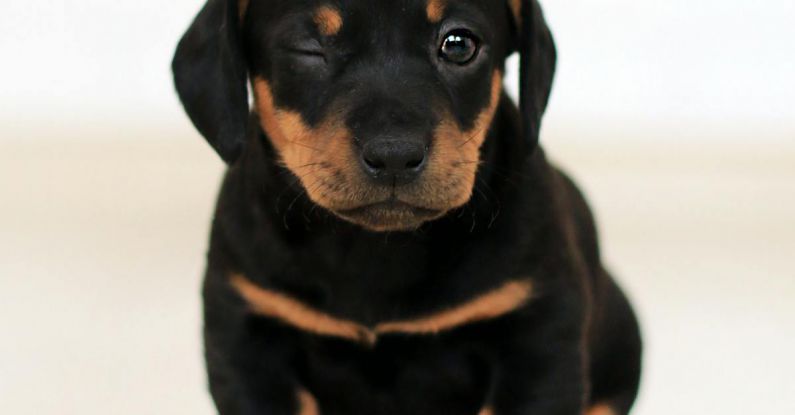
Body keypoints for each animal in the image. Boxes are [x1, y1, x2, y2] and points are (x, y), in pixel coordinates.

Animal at [173, 0, 640, 415]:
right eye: (307, 48)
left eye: (458, 44)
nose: (394, 155)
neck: (377, 250)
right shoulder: (248, 339)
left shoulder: (538, 336)